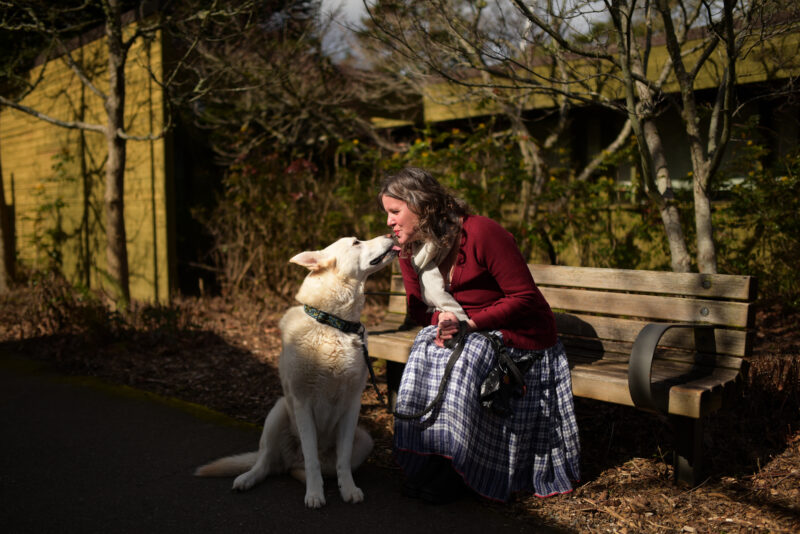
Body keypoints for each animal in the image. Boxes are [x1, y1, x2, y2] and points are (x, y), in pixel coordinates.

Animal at [194, 236, 394, 510]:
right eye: (356, 242)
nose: (390, 234)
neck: (333, 323)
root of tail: (287, 459)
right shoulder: (302, 403)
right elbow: (311, 458)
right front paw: (315, 494)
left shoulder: (352, 405)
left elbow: (342, 460)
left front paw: (348, 490)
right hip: (277, 413)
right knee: (266, 462)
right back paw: (248, 478)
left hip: (364, 440)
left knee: (305, 467)